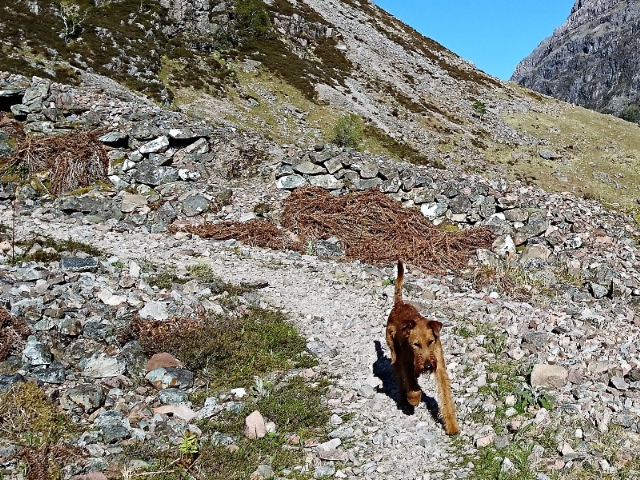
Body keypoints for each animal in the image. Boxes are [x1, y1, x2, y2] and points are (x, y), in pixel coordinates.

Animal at [384, 260, 460, 436]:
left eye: (431, 341)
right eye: (415, 344)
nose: (427, 366)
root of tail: (399, 304)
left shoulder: (439, 367)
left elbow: (446, 397)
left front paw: (452, 425)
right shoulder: (406, 361)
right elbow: (412, 385)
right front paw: (413, 398)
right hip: (394, 353)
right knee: (400, 377)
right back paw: (404, 399)